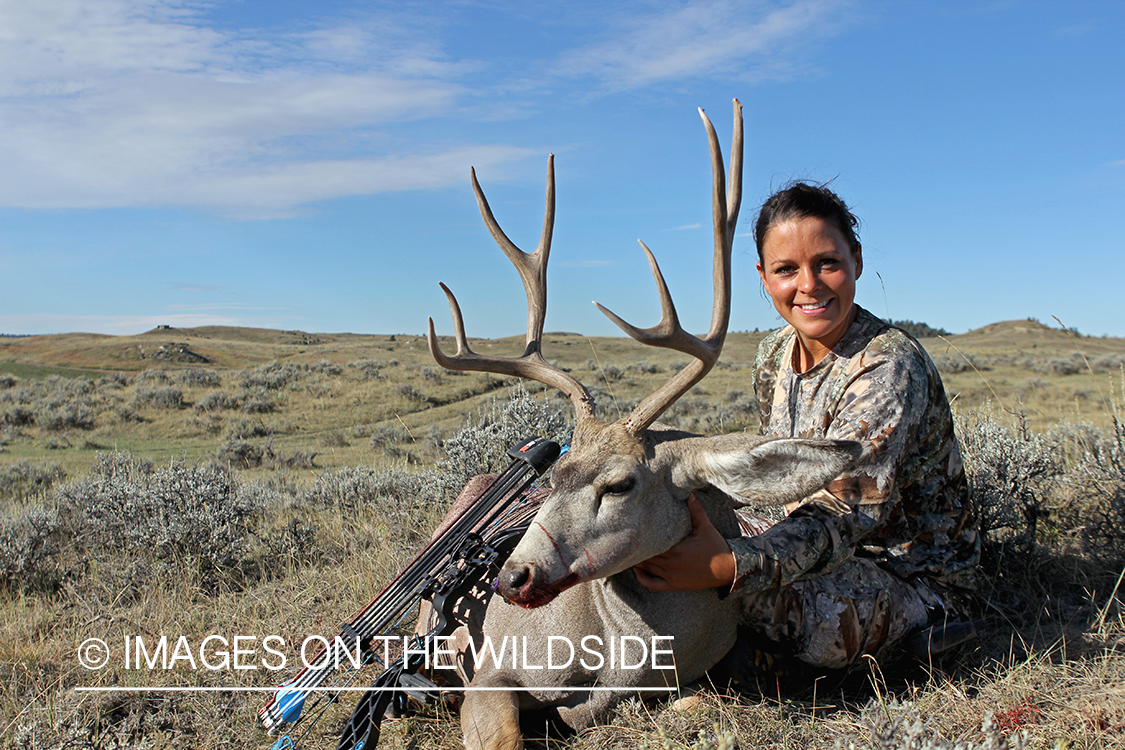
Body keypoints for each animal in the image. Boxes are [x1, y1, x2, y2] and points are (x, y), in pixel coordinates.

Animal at [425, 100, 861, 750]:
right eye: (550, 482)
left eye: (620, 484)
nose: (514, 577)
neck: (616, 661)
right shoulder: (493, 668)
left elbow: (694, 705)